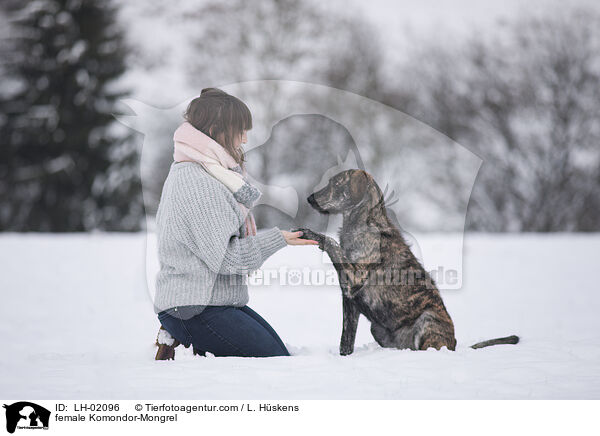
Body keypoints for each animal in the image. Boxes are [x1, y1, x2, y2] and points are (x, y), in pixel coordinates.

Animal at [292, 169, 516, 356]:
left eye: (336, 183)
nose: (309, 198)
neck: (360, 223)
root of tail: (453, 345)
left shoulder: (355, 276)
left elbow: (331, 242)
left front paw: (311, 234)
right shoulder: (349, 301)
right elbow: (346, 340)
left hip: (427, 320)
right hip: (378, 329)